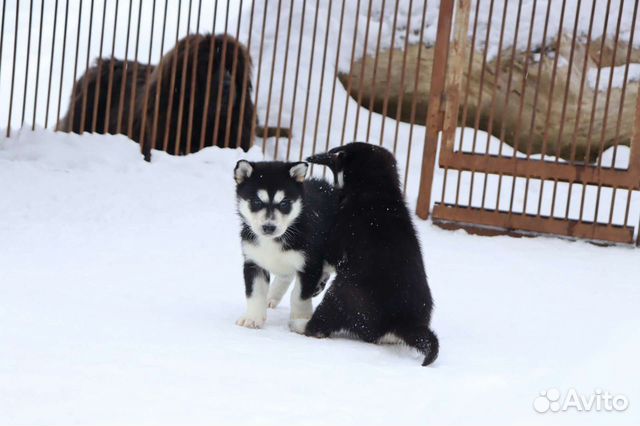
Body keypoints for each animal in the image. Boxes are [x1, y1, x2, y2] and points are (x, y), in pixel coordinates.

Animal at [234, 160, 336, 330]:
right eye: (256, 202)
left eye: (284, 203)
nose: (269, 227)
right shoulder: (253, 260)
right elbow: (255, 292)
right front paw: (252, 318)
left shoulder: (309, 263)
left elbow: (299, 295)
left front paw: (301, 318)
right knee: (285, 276)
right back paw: (272, 296)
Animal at [304, 143, 440, 366]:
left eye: (339, 155)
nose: (313, 157)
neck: (377, 189)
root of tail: (401, 323)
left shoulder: (338, 242)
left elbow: (327, 259)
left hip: (341, 295)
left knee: (323, 321)